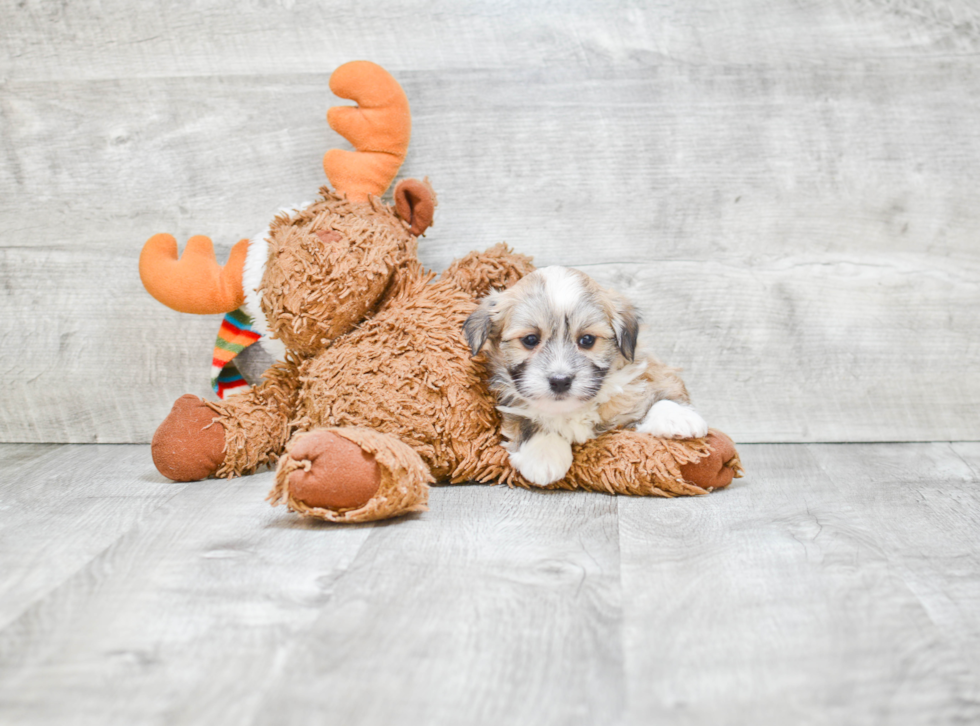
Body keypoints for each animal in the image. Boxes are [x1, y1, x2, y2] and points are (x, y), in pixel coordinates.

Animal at [464, 264, 708, 486]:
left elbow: (661, 387)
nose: (560, 381)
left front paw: (677, 417)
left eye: (587, 340)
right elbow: (525, 419)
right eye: (530, 340)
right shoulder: (509, 400)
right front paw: (544, 453)